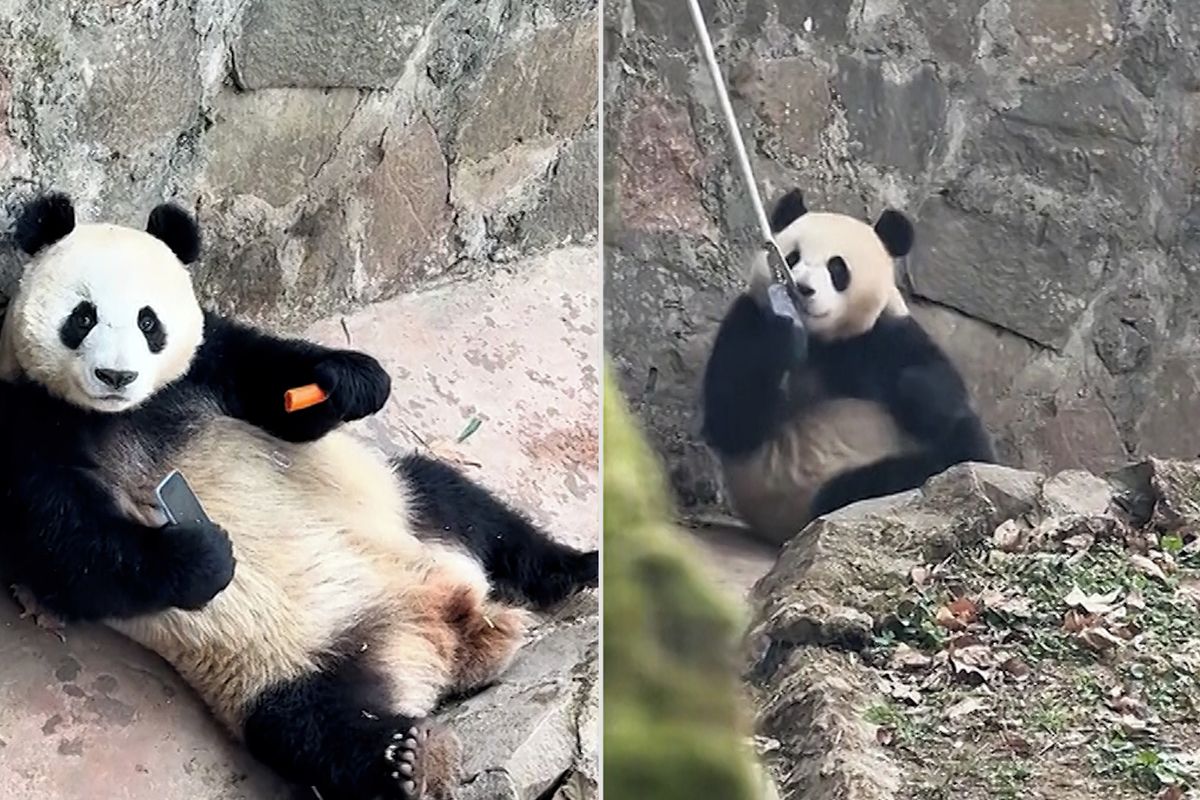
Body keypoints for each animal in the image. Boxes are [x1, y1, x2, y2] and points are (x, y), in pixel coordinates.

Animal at [0, 192, 599, 800]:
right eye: (82, 317)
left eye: (150, 322)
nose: (116, 375)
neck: (124, 414)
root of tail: (448, 630)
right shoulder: (25, 426)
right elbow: (67, 553)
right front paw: (204, 556)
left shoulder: (212, 364)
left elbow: (278, 391)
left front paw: (350, 381)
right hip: (284, 665)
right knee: (317, 730)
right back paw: (406, 761)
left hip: (403, 504)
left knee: (470, 507)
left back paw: (576, 569)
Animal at [700, 188, 995, 545]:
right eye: (793, 257)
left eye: (837, 268)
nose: (802, 288)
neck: (824, 340)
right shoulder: (748, 317)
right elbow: (732, 421)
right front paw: (781, 338)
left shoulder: (884, 333)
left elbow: (936, 379)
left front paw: (917, 391)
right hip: (804, 493)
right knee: (863, 488)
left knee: (964, 435)